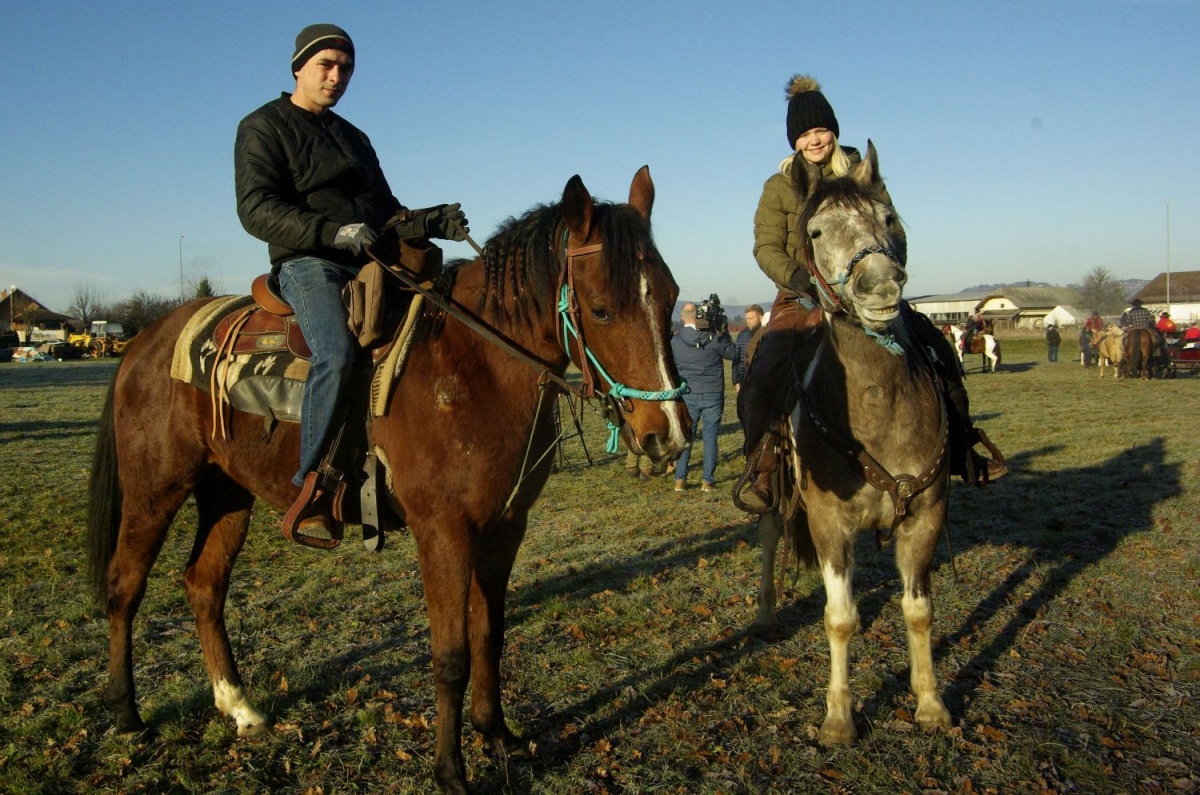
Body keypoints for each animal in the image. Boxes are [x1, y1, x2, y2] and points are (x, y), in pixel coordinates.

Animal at [84, 166, 691, 792]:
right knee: (124, 586)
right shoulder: (444, 531)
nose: (667, 435)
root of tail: (144, 342)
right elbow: (451, 656)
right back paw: (126, 713)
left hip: (226, 494)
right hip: (154, 492)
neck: (475, 366)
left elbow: (489, 634)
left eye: (671, 298)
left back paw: (240, 707)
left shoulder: (505, 527)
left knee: (204, 586)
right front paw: (451, 772)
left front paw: (496, 735)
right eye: (601, 309)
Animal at [753, 146, 950, 749]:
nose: (881, 284)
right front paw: (839, 719)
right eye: (815, 231)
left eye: (889, 217)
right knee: (769, 535)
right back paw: (765, 614)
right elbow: (839, 618)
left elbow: (918, 611)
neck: (874, 405)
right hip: (773, 488)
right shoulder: (828, 520)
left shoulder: (926, 516)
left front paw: (931, 704)